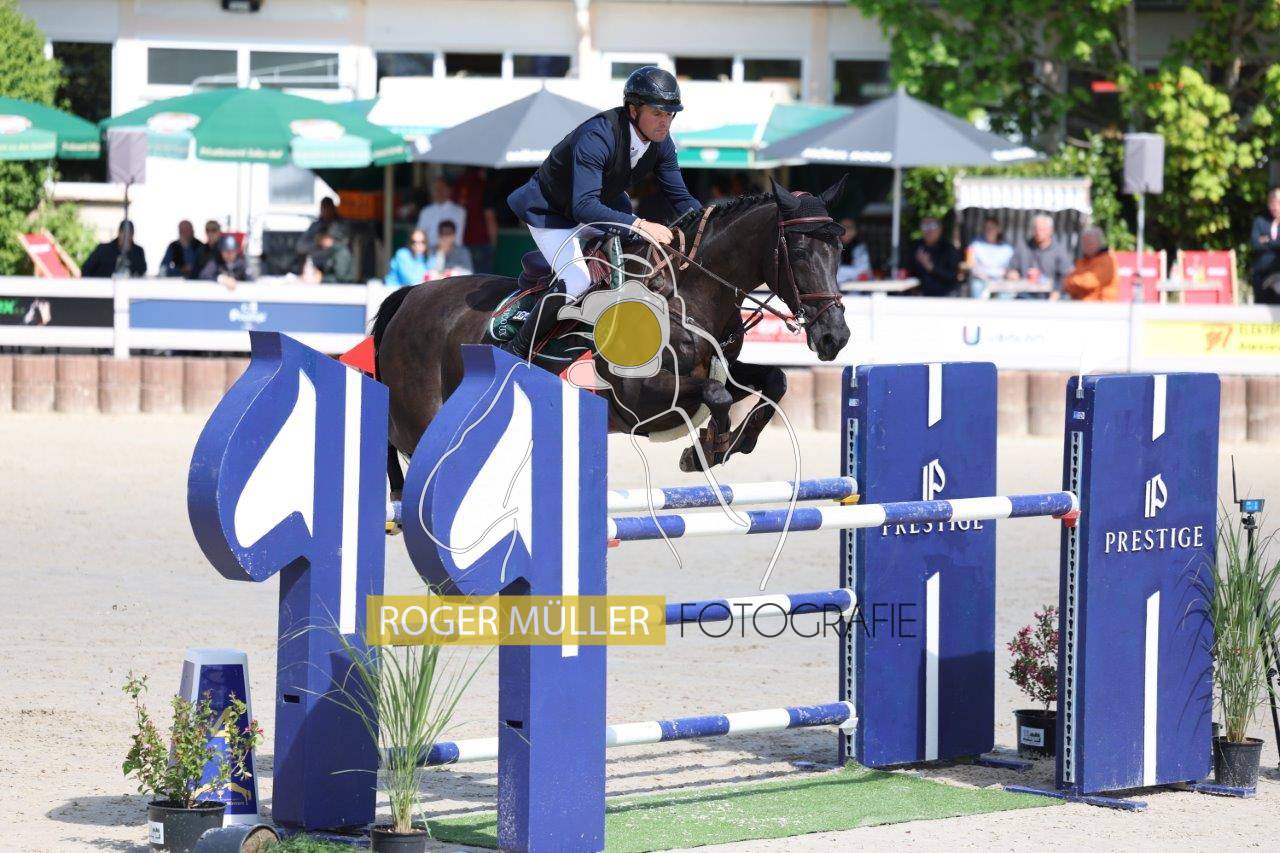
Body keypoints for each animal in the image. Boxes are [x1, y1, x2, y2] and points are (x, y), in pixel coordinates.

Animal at [372, 177, 852, 477]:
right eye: (800, 254)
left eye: (840, 251)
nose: (836, 337)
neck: (686, 295)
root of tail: (410, 296)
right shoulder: (641, 400)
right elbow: (716, 397)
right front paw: (707, 447)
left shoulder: (721, 367)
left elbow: (775, 381)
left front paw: (725, 446)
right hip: (419, 419)